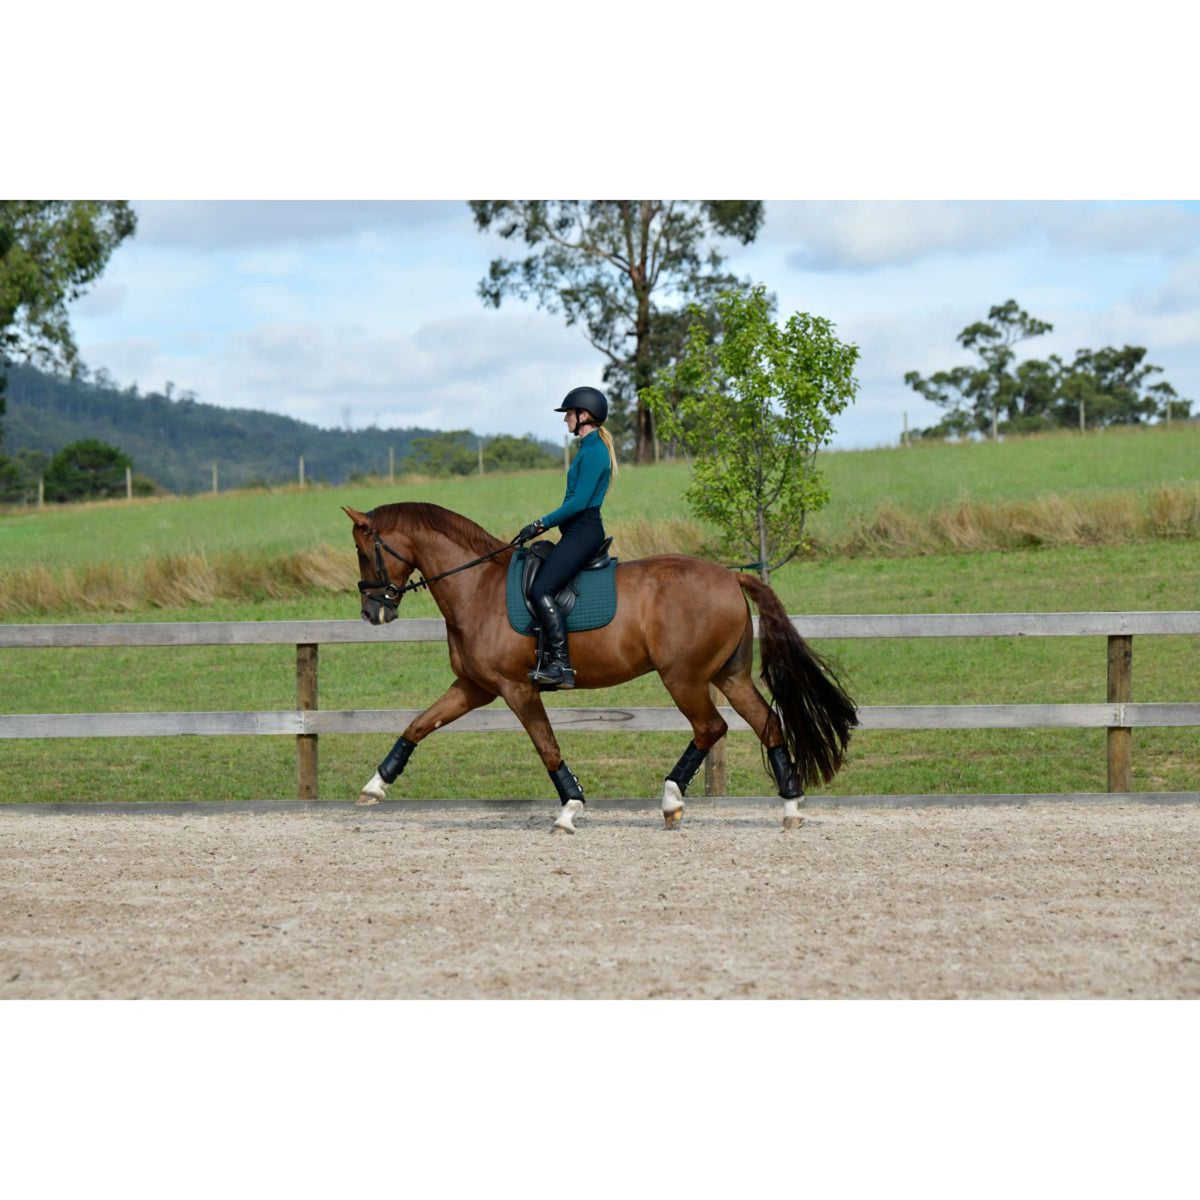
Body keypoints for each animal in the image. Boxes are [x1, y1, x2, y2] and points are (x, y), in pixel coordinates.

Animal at [343, 501, 859, 830]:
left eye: (365, 552)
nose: (372, 613)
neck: (478, 587)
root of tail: (731, 576)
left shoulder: (516, 689)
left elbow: (547, 747)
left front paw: (569, 810)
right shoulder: (474, 686)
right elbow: (418, 725)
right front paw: (375, 785)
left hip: (684, 677)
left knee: (711, 727)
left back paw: (671, 800)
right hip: (728, 675)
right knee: (767, 723)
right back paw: (790, 809)